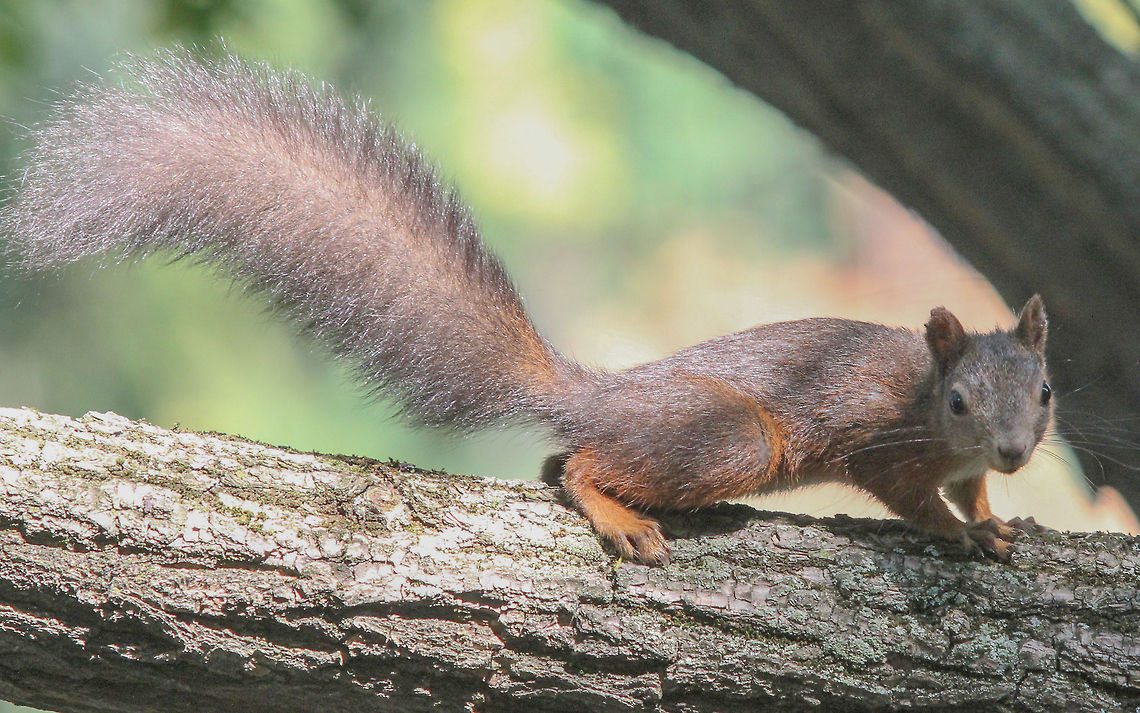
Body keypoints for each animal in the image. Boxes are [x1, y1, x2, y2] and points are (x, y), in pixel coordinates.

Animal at [0, 51, 1053, 565]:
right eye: (958, 400)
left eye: (1046, 393)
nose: (1010, 449)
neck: (929, 405)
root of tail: (597, 392)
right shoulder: (891, 447)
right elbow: (915, 502)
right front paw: (961, 532)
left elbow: (970, 491)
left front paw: (995, 514)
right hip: (732, 436)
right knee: (574, 464)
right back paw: (616, 512)